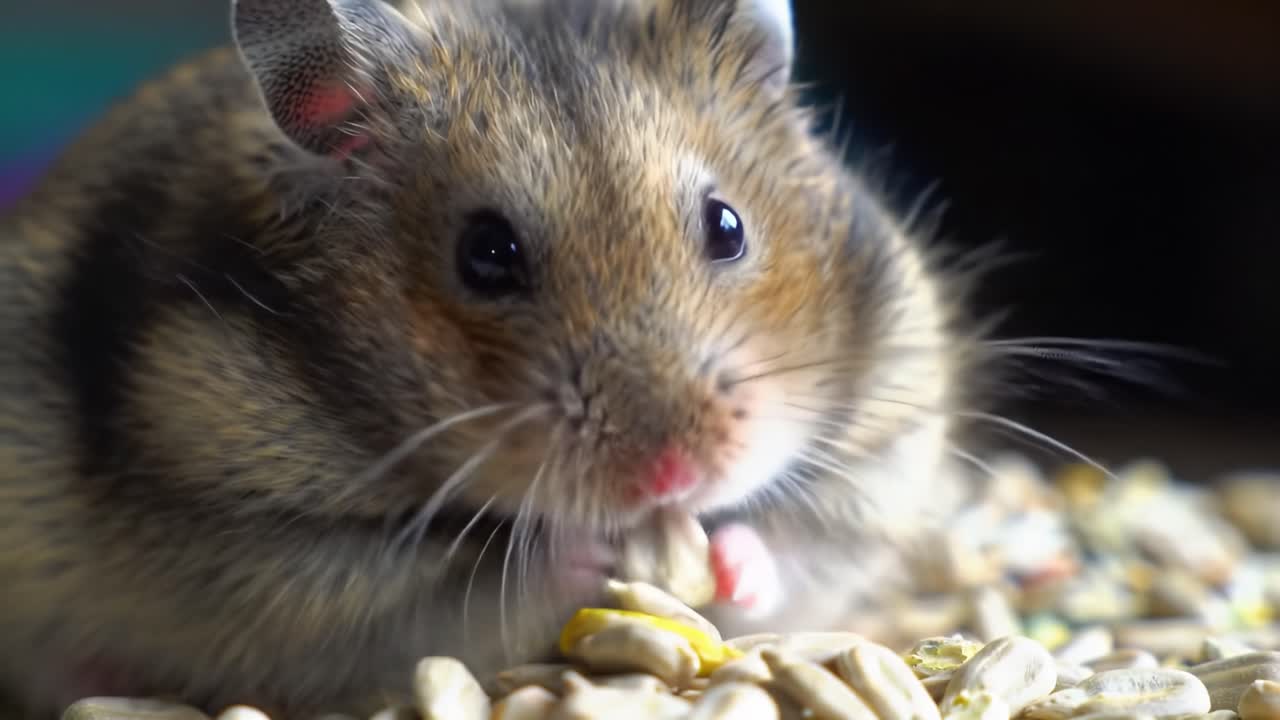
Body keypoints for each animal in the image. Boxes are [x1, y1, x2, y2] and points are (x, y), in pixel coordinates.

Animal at [0, 0, 985, 716]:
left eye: (728, 225)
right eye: (486, 254)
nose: (675, 477)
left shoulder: (885, 442)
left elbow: (794, 554)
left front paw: (720, 556)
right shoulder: (270, 547)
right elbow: (477, 590)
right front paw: (596, 552)